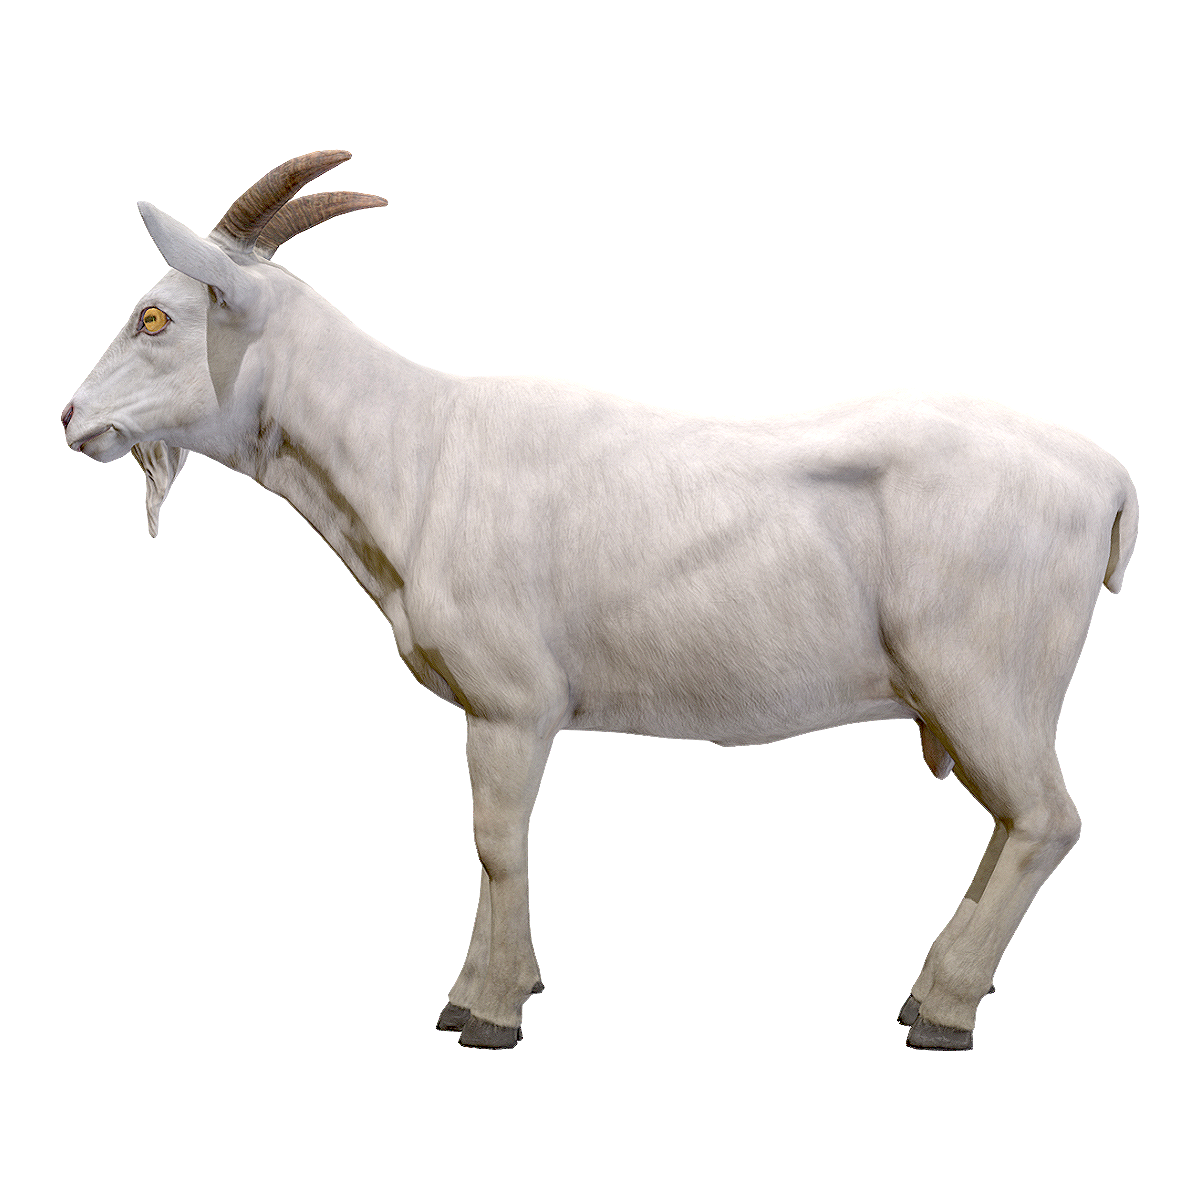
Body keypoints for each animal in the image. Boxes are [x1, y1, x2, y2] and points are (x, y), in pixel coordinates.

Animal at [63, 151, 1138, 1049]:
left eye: (155, 315)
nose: (70, 413)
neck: (422, 452)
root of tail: (1107, 477)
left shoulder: (514, 700)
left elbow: (496, 846)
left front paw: (484, 1010)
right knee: (1010, 822)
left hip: (983, 669)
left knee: (1047, 819)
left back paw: (942, 1009)